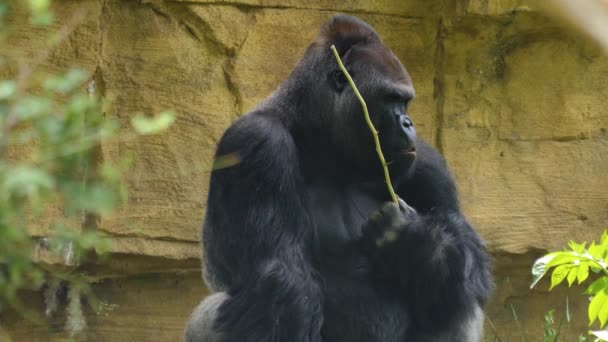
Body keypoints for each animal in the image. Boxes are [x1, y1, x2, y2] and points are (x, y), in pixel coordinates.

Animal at [185, 14, 494, 342]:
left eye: (406, 102)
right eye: (391, 98)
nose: (408, 123)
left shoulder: (426, 162)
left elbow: (465, 252)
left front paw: (414, 238)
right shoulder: (256, 142)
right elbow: (281, 282)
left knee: (456, 297)